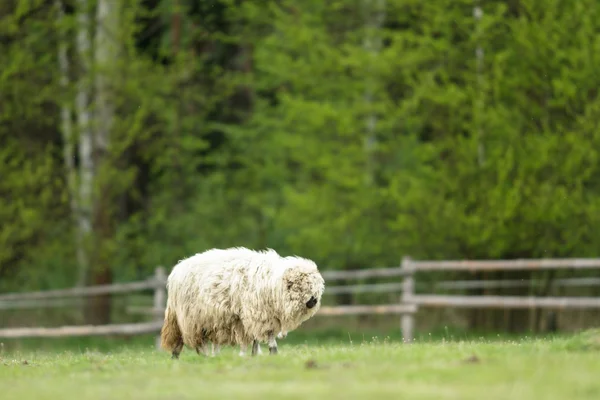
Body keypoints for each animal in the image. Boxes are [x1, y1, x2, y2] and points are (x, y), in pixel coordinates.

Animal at [161, 247, 324, 360]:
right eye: (300, 286)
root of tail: (176, 270)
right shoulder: (261, 315)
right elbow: (269, 335)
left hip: (211, 319)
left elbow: (255, 339)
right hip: (191, 318)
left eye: (316, 286)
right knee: (189, 339)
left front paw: (254, 354)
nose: (313, 301)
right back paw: (188, 357)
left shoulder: (258, 317)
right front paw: (273, 351)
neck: (272, 283)